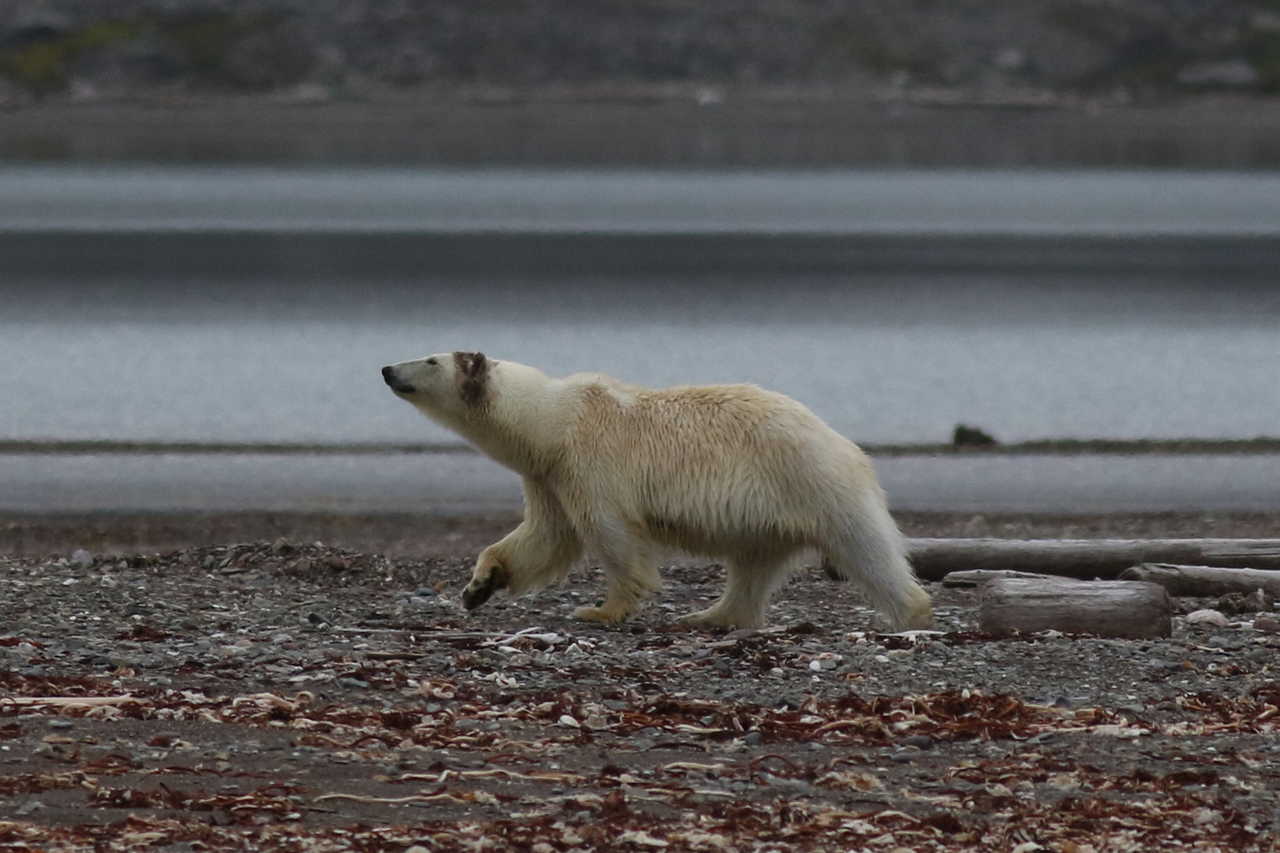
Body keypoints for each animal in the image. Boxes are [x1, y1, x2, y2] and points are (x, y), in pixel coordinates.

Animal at [378, 350, 931, 630]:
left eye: (429, 358)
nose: (385, 368)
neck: (553, 421)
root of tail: (848, 445)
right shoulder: (548, 475)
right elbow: (543, 537)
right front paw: (479, 586)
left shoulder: (590, 461)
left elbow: (610, 533)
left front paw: (602, 608)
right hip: (772, 510)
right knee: (752, 564)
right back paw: (709, 615)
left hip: (810, 480)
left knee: (865, 547)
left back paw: (910, 611)